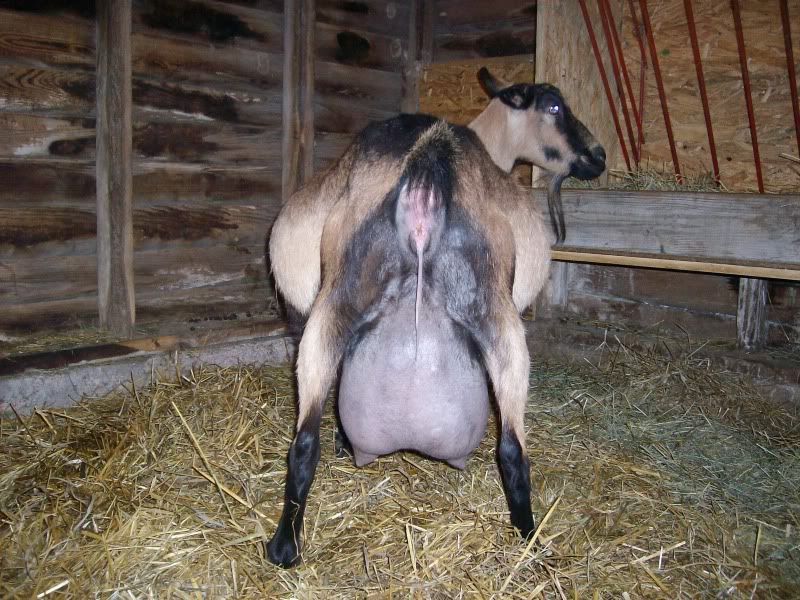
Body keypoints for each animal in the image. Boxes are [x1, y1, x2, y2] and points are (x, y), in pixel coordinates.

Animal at [266, 69, 606, 568]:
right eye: (555, 107)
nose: (599, 157)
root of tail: (427, 170)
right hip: (494, 314)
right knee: (512, 446)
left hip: (337, 308)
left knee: (305, 441)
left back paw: (285, 546)